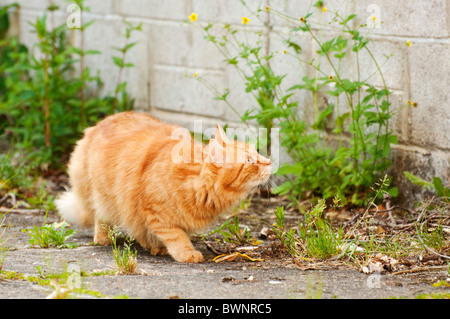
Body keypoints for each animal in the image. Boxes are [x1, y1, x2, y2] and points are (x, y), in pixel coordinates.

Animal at [55, 112, 270, 262]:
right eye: (250, 161)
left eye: (257, 154)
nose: (269, 162)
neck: (194, 184)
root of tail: (100, 123)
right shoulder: (153, 211)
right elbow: (175, 235)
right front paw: (185, 253)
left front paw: (158, 247)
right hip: (102, 194)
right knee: (101, 215)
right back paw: (103, 238)